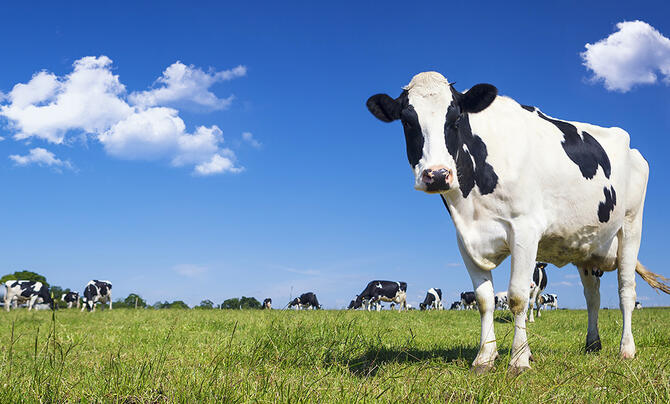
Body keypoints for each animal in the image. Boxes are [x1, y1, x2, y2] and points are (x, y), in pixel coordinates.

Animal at [366, 71, 669, 373]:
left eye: (456, 118)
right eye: (407, 120)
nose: (438, 175)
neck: (471, 204)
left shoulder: (525, 230)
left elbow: (517, 297)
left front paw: (520, 359)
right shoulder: (465, 241)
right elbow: (484, 300)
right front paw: (485, 357)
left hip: (631, 226)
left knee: (626, 290)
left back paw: (626, 349)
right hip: (586, 247)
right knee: (592, 297)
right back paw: (592, 344)